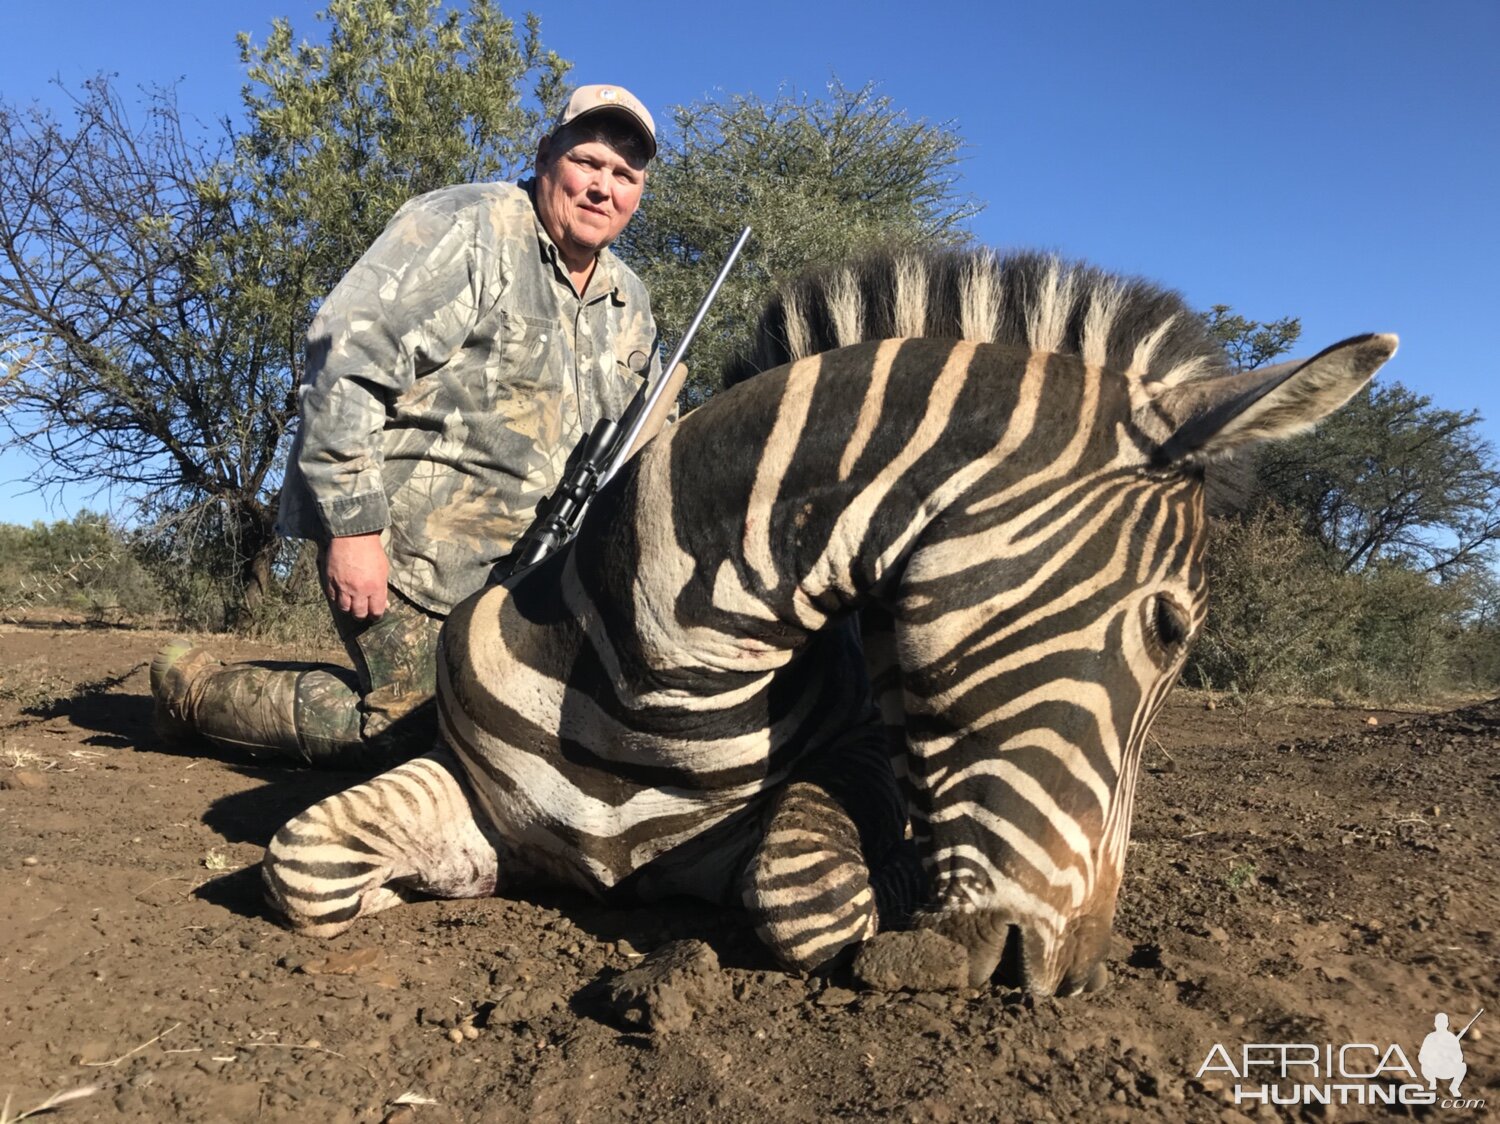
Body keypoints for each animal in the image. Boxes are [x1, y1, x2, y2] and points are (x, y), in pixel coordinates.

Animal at [261, 246, 1392, 990]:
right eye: (1171, 629)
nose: (1076, 974)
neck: (651, 678)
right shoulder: (461, 780)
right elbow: (304, 861)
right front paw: (418, 880)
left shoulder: (859, 761)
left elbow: (806, 890)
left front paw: (889, 896)